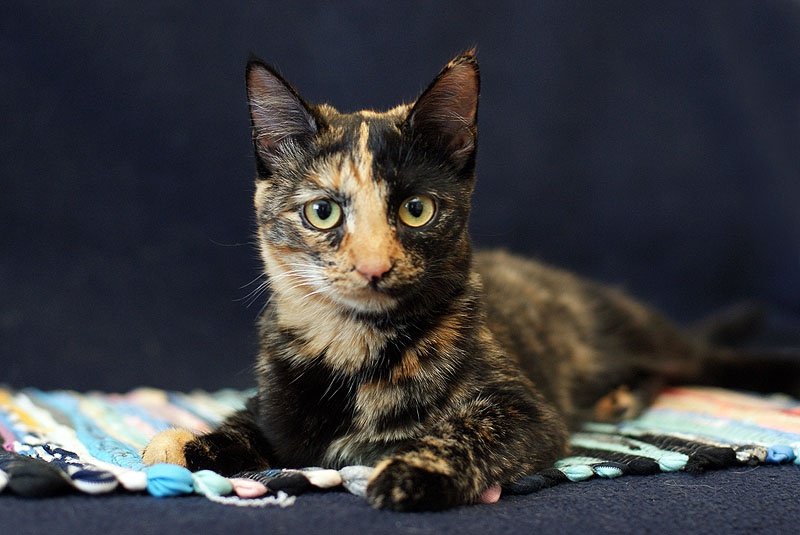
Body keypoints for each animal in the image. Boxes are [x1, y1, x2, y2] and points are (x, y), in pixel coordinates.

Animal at [142, 50, 799, 511]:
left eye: (416, 210)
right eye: (323, 212)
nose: (374, 266)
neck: (356, 347)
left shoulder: (526, 410)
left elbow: (468, 432)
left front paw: (413, 468)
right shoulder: (277, 405)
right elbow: (247, 425)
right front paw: (186, 441)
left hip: (648, 342)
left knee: (696, 363)